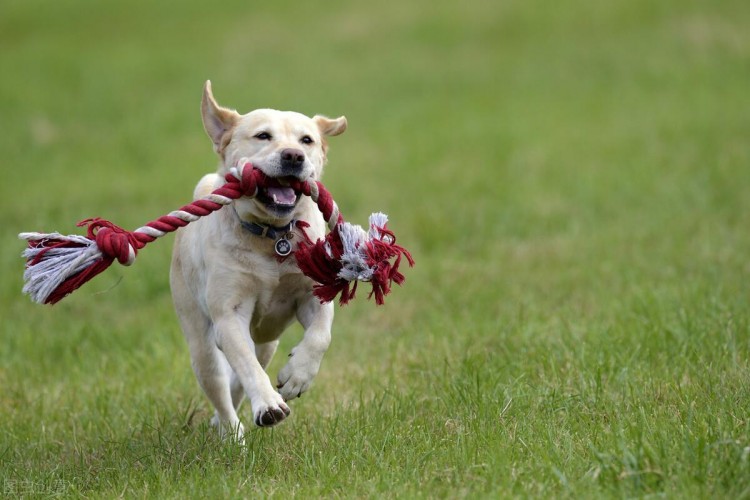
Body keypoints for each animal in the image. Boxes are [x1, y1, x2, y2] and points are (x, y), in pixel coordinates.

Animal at [170, 81, 346, 438]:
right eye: (263, 136)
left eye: (306, 140)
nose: (293, 156)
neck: (273, 236)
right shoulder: (229, 315)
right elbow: (246, 365)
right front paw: (268, 406)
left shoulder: (313, 294)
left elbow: (321, 335)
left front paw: (296, 377)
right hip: (199, 340)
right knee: (223, 387)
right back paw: (231, 433)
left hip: (268, 342)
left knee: (247, 372)